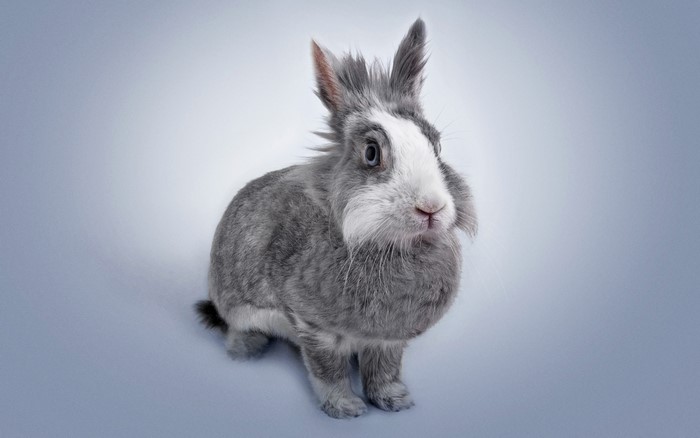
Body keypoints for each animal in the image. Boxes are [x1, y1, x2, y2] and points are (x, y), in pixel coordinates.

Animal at [195, 18, 477, 419]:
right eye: (372, 153)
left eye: (437, 146)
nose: (431, 208)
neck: (387, 245)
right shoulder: (314, 328)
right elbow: (327, 371)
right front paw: (346, 409)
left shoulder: (387, 340)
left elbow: (385, 370)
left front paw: (395, 401)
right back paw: (246, 353)